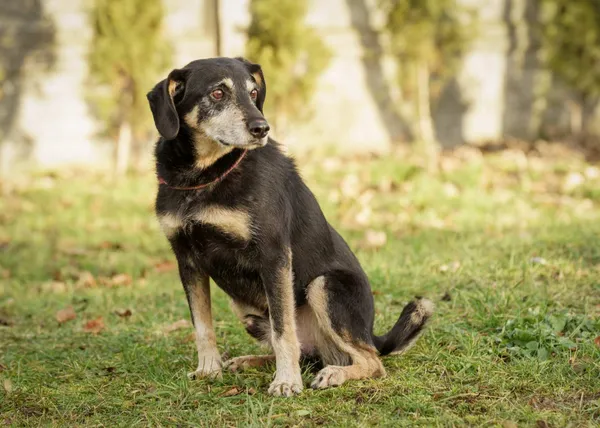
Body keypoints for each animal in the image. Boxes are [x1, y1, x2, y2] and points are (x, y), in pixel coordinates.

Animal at [148, 57, 434, 398]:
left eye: (253, 92)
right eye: (218, 93)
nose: (261, 128)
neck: (203, 177)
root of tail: (371, 333)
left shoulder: (273, 256)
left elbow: (284, 330)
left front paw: (286, 382)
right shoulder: (187, 260)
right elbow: (203, 325)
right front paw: (208, 370)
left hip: (324, 286)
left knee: (371, 361)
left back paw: (333, 374)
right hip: (244, 307)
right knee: (306, 352)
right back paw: (249, 361)